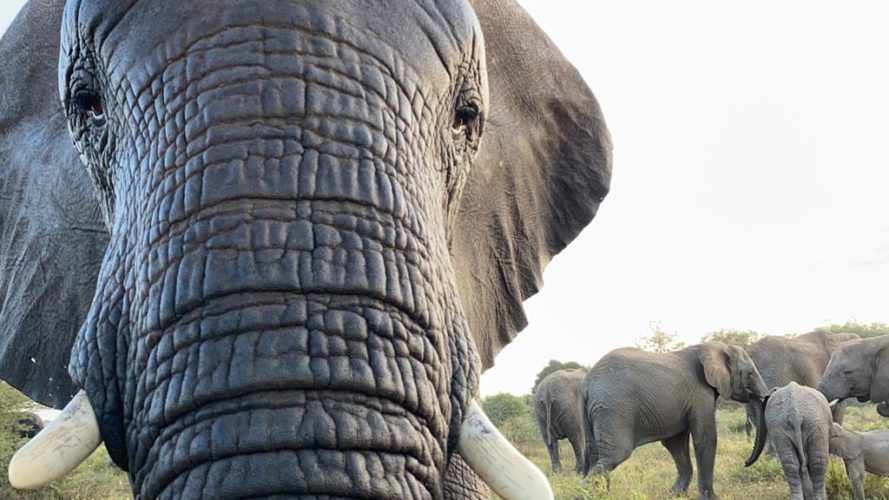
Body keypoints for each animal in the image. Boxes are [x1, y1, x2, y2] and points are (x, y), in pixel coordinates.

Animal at [578, 342, 768, 500]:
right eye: (750, 373)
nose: (745, 463)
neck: (716, 346)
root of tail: (587, 384)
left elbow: (675, 443)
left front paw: (675, 494)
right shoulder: (700, 394)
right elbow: (705, 440)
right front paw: (712, 498)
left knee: (597, 455)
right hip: (613, 407)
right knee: (615, 454)